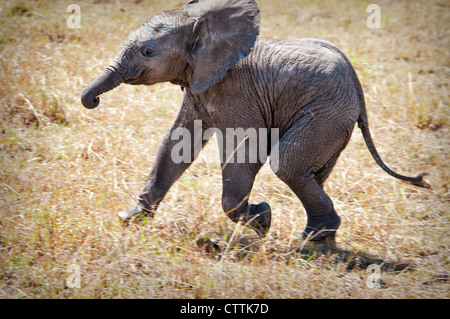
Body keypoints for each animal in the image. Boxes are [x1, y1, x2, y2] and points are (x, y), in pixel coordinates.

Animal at [81, 0, 428, 240]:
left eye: (148, 52)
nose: (92, 100)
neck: (201, 26)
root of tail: (357, 86)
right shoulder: (199, 86)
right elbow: (177, 144)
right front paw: (130, 219)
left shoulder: (235, 90)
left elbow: (247, 148)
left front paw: (263, 220)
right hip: (333, 120)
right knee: (312, 172)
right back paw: (317, 237)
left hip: (326, 113)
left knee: (287, 163)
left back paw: (308, 238)